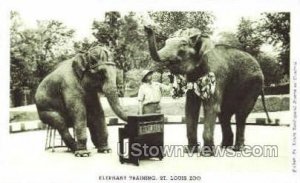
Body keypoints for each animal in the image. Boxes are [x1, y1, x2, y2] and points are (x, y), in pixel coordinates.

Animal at [145, 26, 272, 156]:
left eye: (183, 44)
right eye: (166, 42)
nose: (148, 27)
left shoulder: (217, 75)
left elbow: (211, 106)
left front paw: (206, 153)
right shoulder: (192, 78)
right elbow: (190, 108)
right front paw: (190, 151)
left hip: (253, 85)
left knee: (240, 114)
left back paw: (237, 148)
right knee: (224, 114)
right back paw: (224, 146)